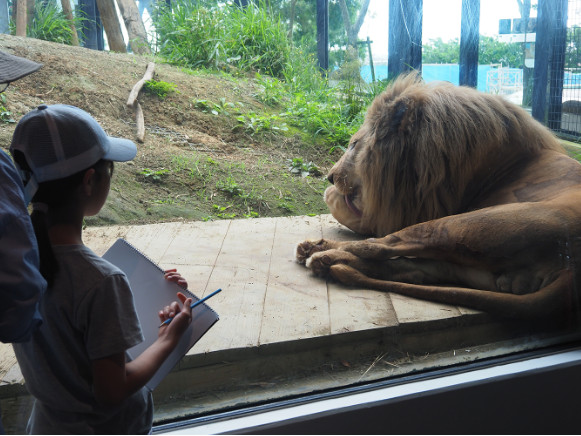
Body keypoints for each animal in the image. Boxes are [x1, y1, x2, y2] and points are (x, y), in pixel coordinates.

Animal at [296, 74, 580, 320]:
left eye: (354, 145)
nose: (330, 177)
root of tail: (571, 270)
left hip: (462, 225)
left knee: (379, 245)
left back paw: (319, 253)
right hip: (466, 262)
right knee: (407, 268)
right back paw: (324, 260)